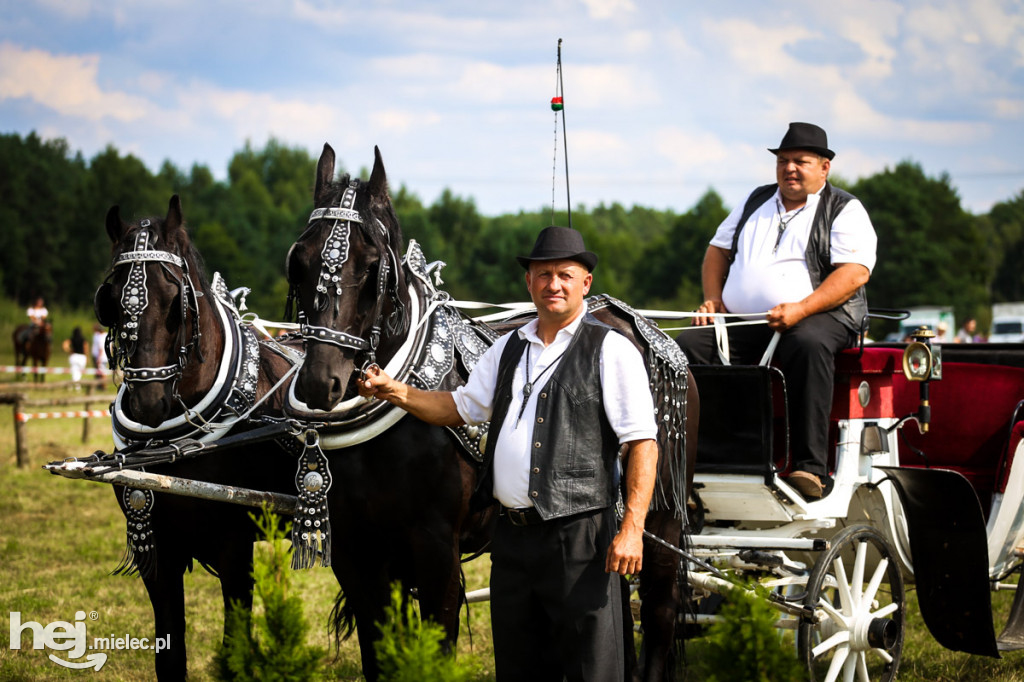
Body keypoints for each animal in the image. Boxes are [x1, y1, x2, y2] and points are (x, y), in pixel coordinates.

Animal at [93, 193, 301, 675]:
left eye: (176, 300)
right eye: (111, 299)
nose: (148, 403)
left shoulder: (235, 547)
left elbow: (235, 650)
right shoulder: (156, 550)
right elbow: (169, 656)